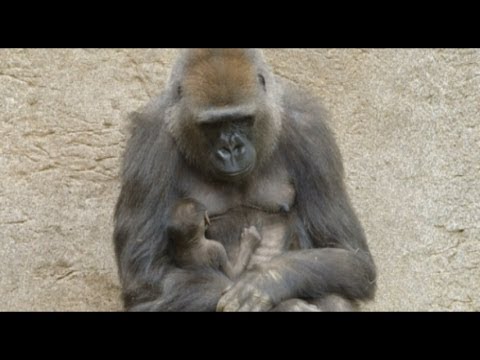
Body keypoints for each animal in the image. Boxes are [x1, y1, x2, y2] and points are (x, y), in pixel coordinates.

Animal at [112, 49, 376, 310]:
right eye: (212, 125)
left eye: (242, 119)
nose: (231, 149)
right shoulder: (150, 138)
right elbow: (146, 279)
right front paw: (284, 303)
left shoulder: (309, 129)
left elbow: (348, 253)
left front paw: (266, 282)